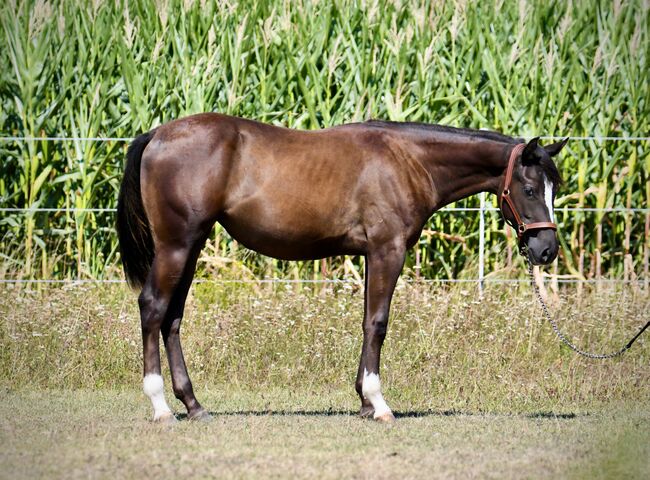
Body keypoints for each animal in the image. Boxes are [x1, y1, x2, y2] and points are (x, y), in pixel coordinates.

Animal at [117, 113, 567, 423]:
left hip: (191, 247)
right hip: (176, 246)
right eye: (529, 189)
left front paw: (364, 401)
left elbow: (367, 321)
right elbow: (379, 323)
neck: (407, 160)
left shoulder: (371, 255)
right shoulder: (388, 251)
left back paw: (193, 404)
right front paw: (379, 403)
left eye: (554, 189)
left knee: (173, 318)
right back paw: (161, 406)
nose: (546, 250)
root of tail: (157, 135)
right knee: (153, 308)